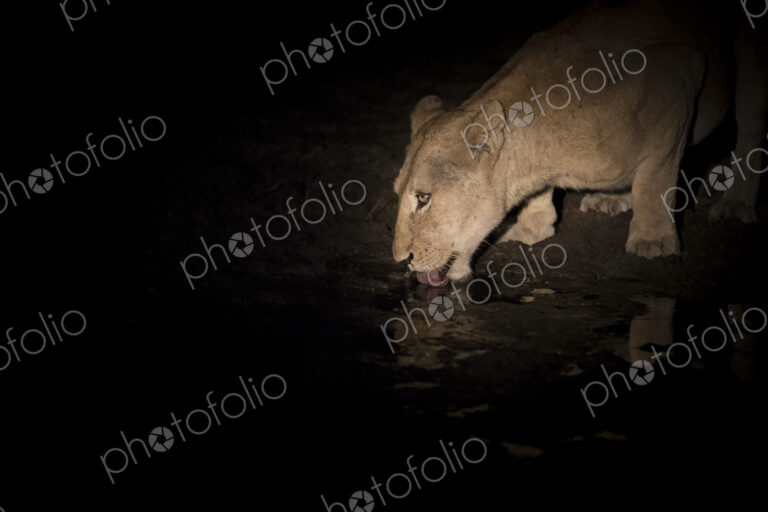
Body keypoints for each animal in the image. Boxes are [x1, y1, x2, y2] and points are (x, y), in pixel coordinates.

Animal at [392, 0, 767, 286]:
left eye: (423, 198)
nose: (400, 260)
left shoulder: (679, 75)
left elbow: (655, 179)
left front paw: (653, 241)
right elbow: (539, 204)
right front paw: (531, 228)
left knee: (751, 124)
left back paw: (736, 203)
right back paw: (610, 197)